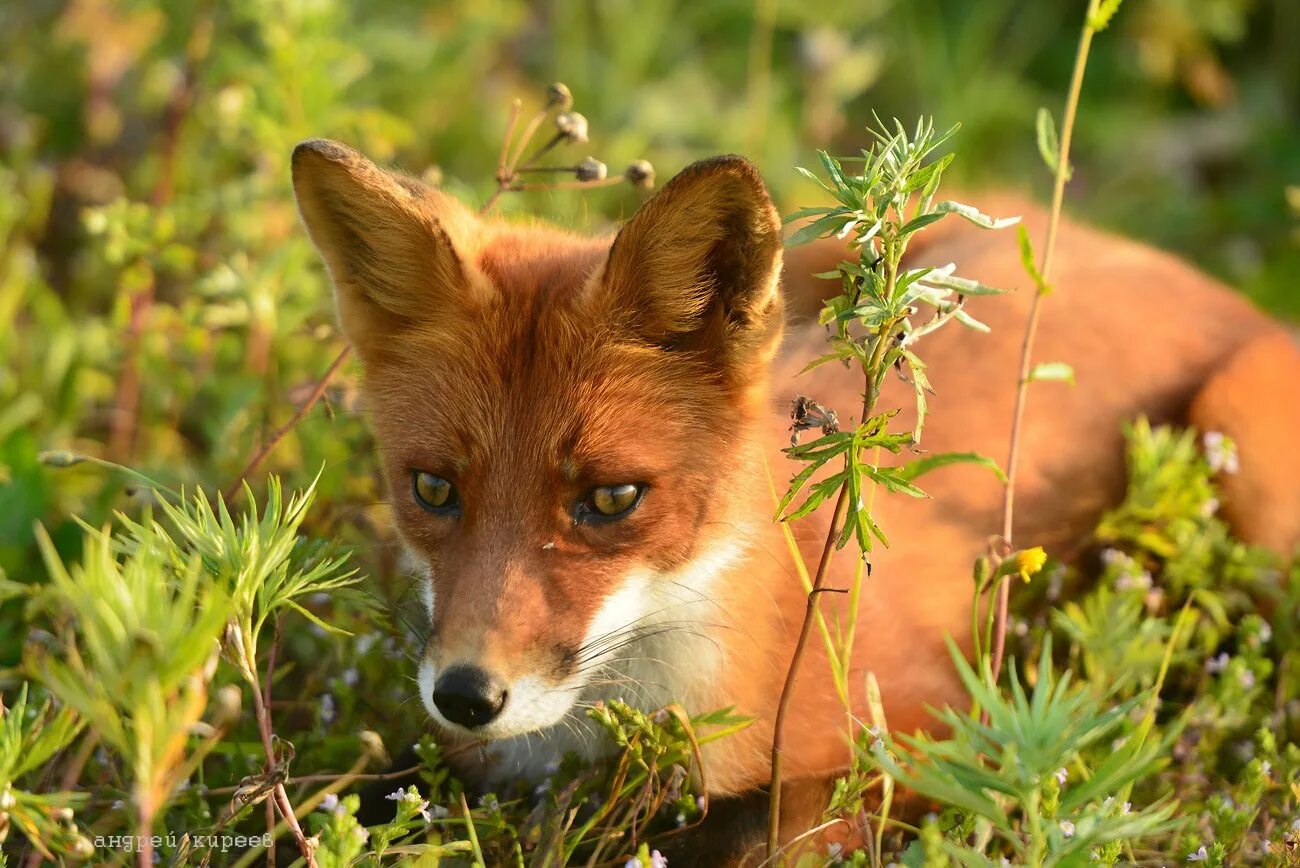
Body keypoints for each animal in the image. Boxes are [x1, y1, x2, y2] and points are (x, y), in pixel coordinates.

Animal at [292, 139, 1300, 862]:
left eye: (612, 498)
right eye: (433, 488)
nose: (466, 695)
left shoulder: (957, 735)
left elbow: (764, 832)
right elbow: (371, 788)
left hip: (1240, 453)